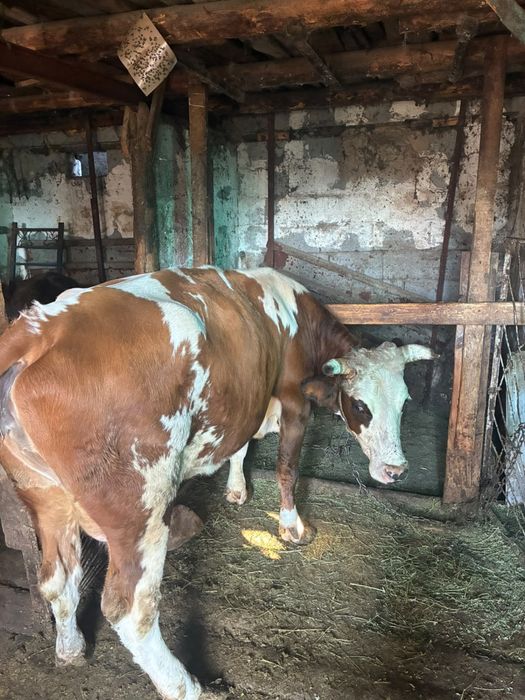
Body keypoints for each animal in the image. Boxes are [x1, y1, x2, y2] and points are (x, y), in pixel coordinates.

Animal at [0, 266, 434, 700]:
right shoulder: (295, 402)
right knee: (131, 609)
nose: (396, 470)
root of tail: (42, 329)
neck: (295, 317)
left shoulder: (247, 399)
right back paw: (187, 686)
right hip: (140, 503)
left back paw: (71, 649)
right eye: (361, 405)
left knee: (56, 579)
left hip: (43, 495)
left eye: (405, 402)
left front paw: (237, 489)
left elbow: (240, 448)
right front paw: (292, 526)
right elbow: (288, 467)